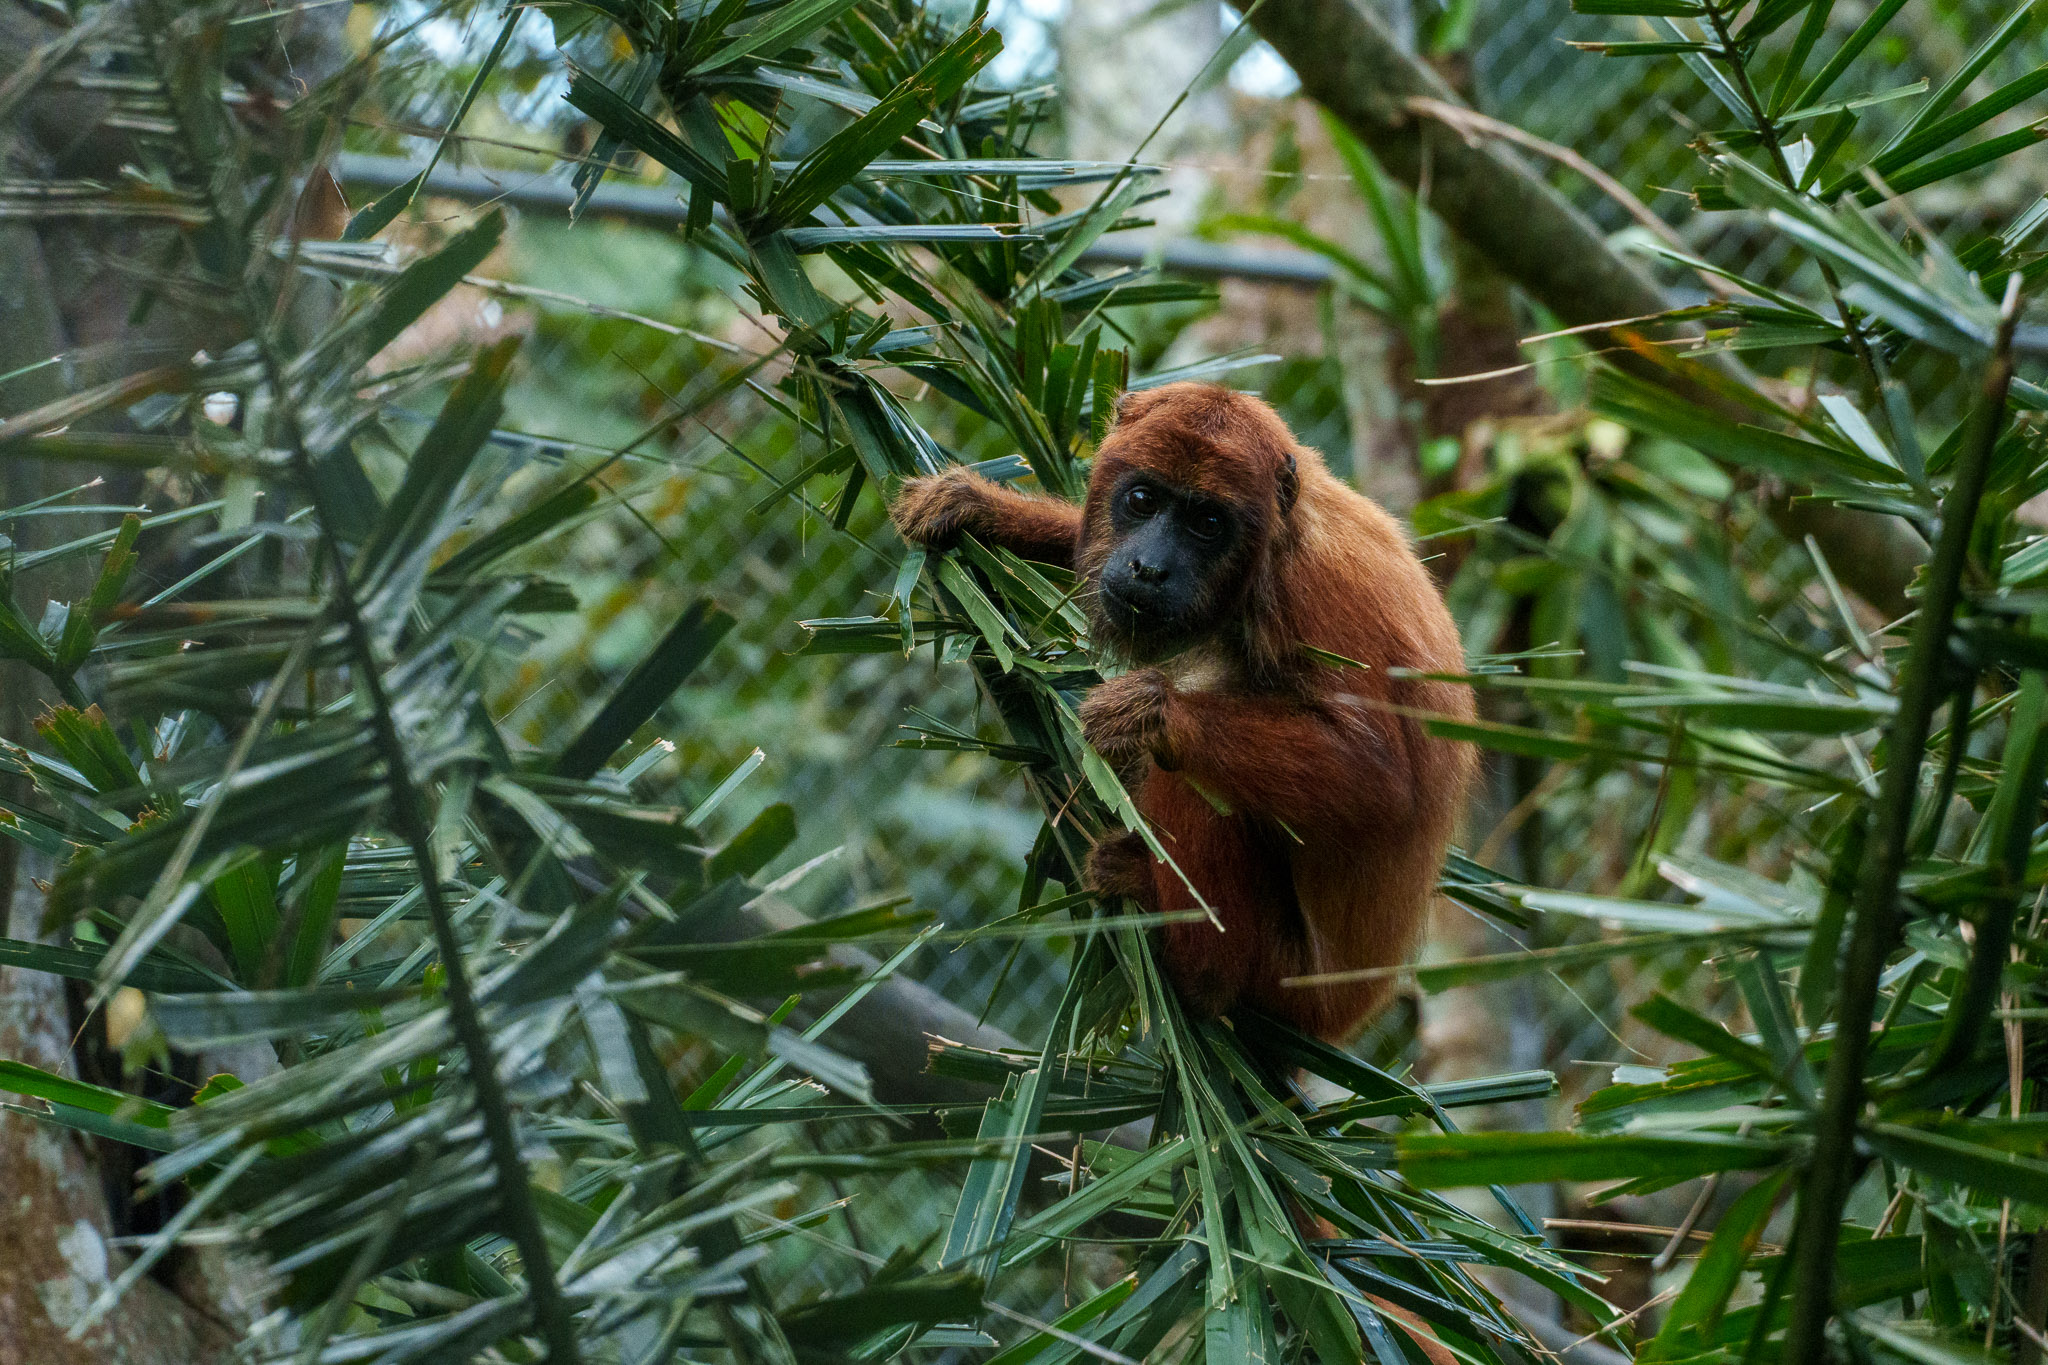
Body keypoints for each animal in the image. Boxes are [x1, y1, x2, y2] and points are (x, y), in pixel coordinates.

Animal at [891, 382, 1476, 1044]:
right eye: (1142, 500)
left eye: (1207, 524)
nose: (1148, 568)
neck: (1272, 544)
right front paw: (981, 509)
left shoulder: (1318, 592)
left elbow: (1381, 780)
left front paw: (1151, 714)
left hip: (1285, 979)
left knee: (1197, 774)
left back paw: (1187, 954)